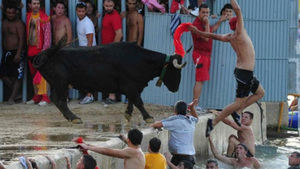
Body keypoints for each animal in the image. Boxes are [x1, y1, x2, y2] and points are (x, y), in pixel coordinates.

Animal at [32, 41, 185, 123]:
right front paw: (148, 117)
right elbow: (138, 101)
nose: (176, 88)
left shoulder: (134, 87)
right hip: (61, 83)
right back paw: (74, 118)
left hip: (56, 83)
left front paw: (128, 114)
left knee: (55, 99)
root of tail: (45, 54)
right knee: (61, 100)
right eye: (175, 71)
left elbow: (132, 101)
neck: (139, 59)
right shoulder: (130, 86)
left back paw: (70, 117)